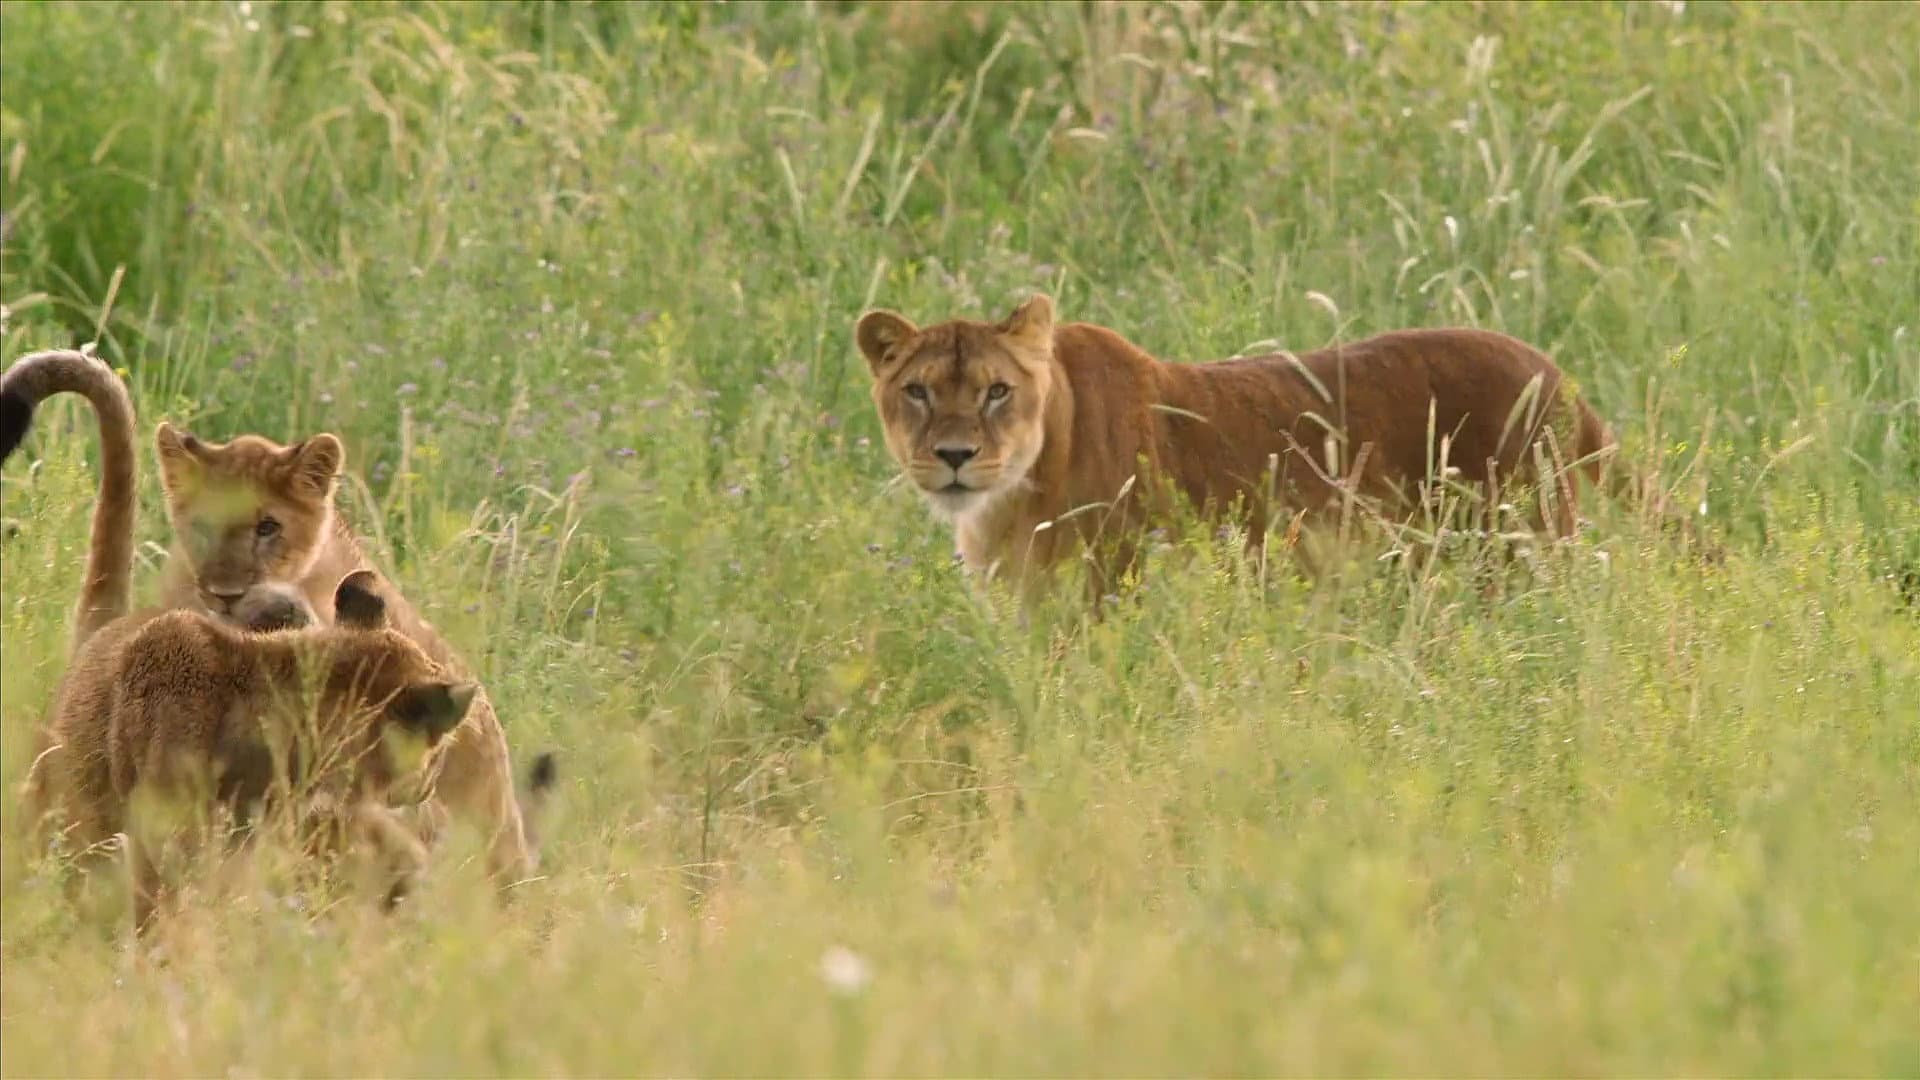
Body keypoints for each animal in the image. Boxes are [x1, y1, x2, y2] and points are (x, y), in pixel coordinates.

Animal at [855, 294, 1630, 597]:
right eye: (918, 392)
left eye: (996, 391)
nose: (955, 456)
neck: (1009, 499)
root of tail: (1549, 367)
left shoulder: (1113, 586)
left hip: (1522, 547)